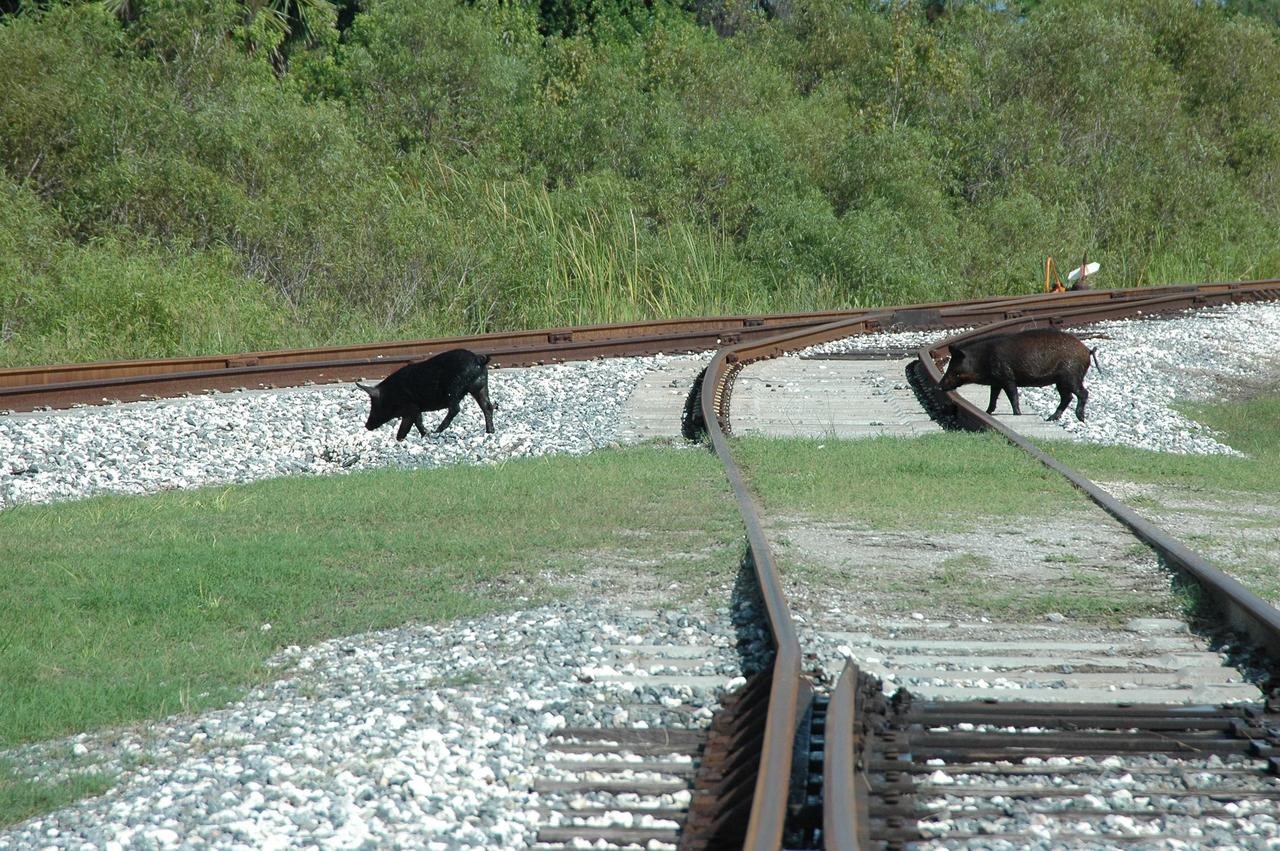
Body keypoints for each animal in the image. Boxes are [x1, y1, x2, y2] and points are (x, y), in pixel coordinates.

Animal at [356, 348, 495, 440]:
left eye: (374, 405)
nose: (367, 425)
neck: (391, 394)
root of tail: (478, 359)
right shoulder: (409, 411)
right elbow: (408, 425)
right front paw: (402, 438)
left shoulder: (412, 406)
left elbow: (416, 422)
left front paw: (424, 435)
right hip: (480, 387)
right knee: (487, 406)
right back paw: (490, 431)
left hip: (454, 388)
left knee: (455, 408)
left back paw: (437, 431)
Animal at [938, 329, 1099, 422]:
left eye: (953, 367)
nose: (939, 386)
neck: (982, 359)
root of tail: (1087, 350)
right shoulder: (996, 381)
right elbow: (993, 396)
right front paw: (987, 412)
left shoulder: (1007, 376)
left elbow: (1012, 394)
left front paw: (1017, 414)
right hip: (1061, 381)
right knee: (1067, 397)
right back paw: (1050, 418)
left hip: (1070, 375)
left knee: (1082, 393)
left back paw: (1080, 418)